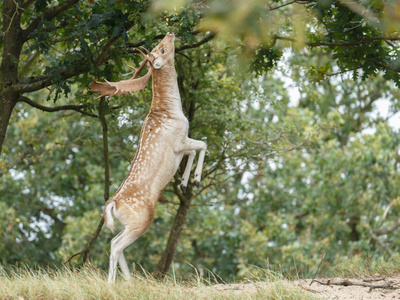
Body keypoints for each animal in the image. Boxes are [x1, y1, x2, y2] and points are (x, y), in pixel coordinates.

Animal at [90, 32, 206, 284]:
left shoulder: (181, 145)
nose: (170, 33)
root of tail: (112, 203)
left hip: (128, 224)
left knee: (114, 242)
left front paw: (184, 183)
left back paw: (129, 281)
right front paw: (196, 180)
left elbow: (194, 150)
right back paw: (112, 283)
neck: (171, 111)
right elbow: (203, 145)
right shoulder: (179, 140)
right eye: (161, 49)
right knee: (116, 246)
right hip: (141, 220)